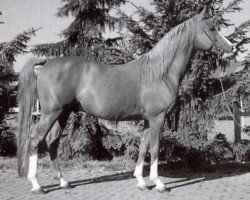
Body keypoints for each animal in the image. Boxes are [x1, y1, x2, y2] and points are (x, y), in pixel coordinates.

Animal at [17, 6, 232, 194]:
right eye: (212, 28)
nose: (230, 47)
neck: (160, 73)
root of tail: (46, 63)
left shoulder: (147, 120)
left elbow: (143, 146)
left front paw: (141, 182)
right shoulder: (158, 117)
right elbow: (155, 148)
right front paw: (158, 183)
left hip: (63, 113)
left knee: (52, 141)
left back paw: (63, 182)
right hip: (51, 112)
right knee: (35, 139)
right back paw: (37, 186)